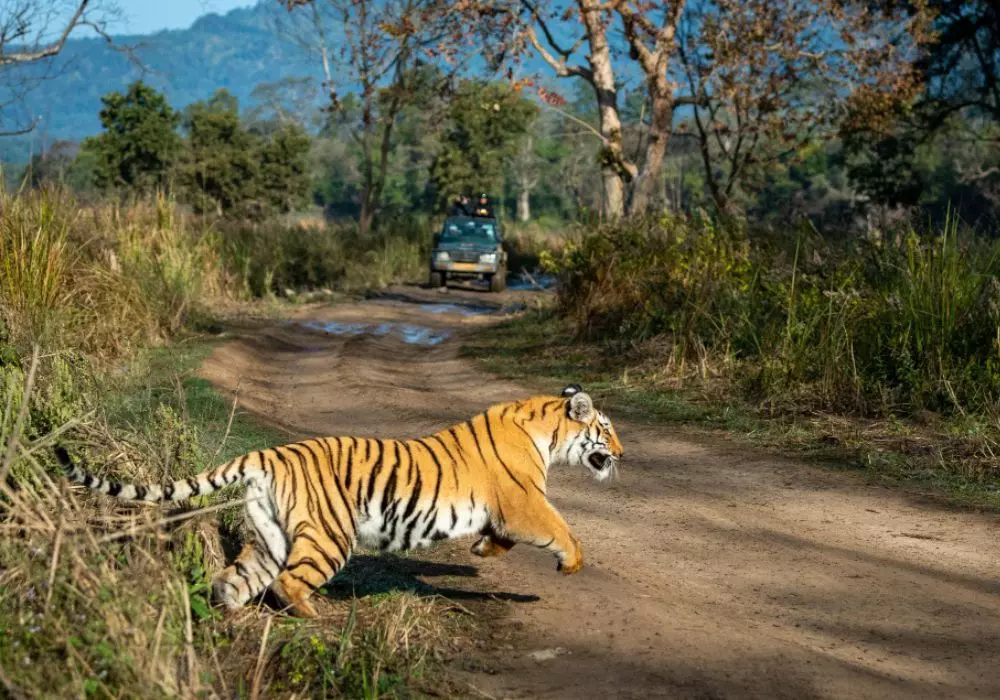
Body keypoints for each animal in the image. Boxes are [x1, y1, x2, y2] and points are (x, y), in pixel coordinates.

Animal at [54, 382, 620, 616]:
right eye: (606, 429)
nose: (621, 453)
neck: (546, 431)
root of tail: (268, 453)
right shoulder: (524, 502)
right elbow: (561, 527)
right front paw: (572, 563)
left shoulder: (506, 511)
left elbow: (502, 538)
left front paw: (483, 550)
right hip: (329, 535)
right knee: (286, 582)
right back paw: (314, 616)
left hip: (270, 535)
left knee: (235, 579)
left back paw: (229, 616)